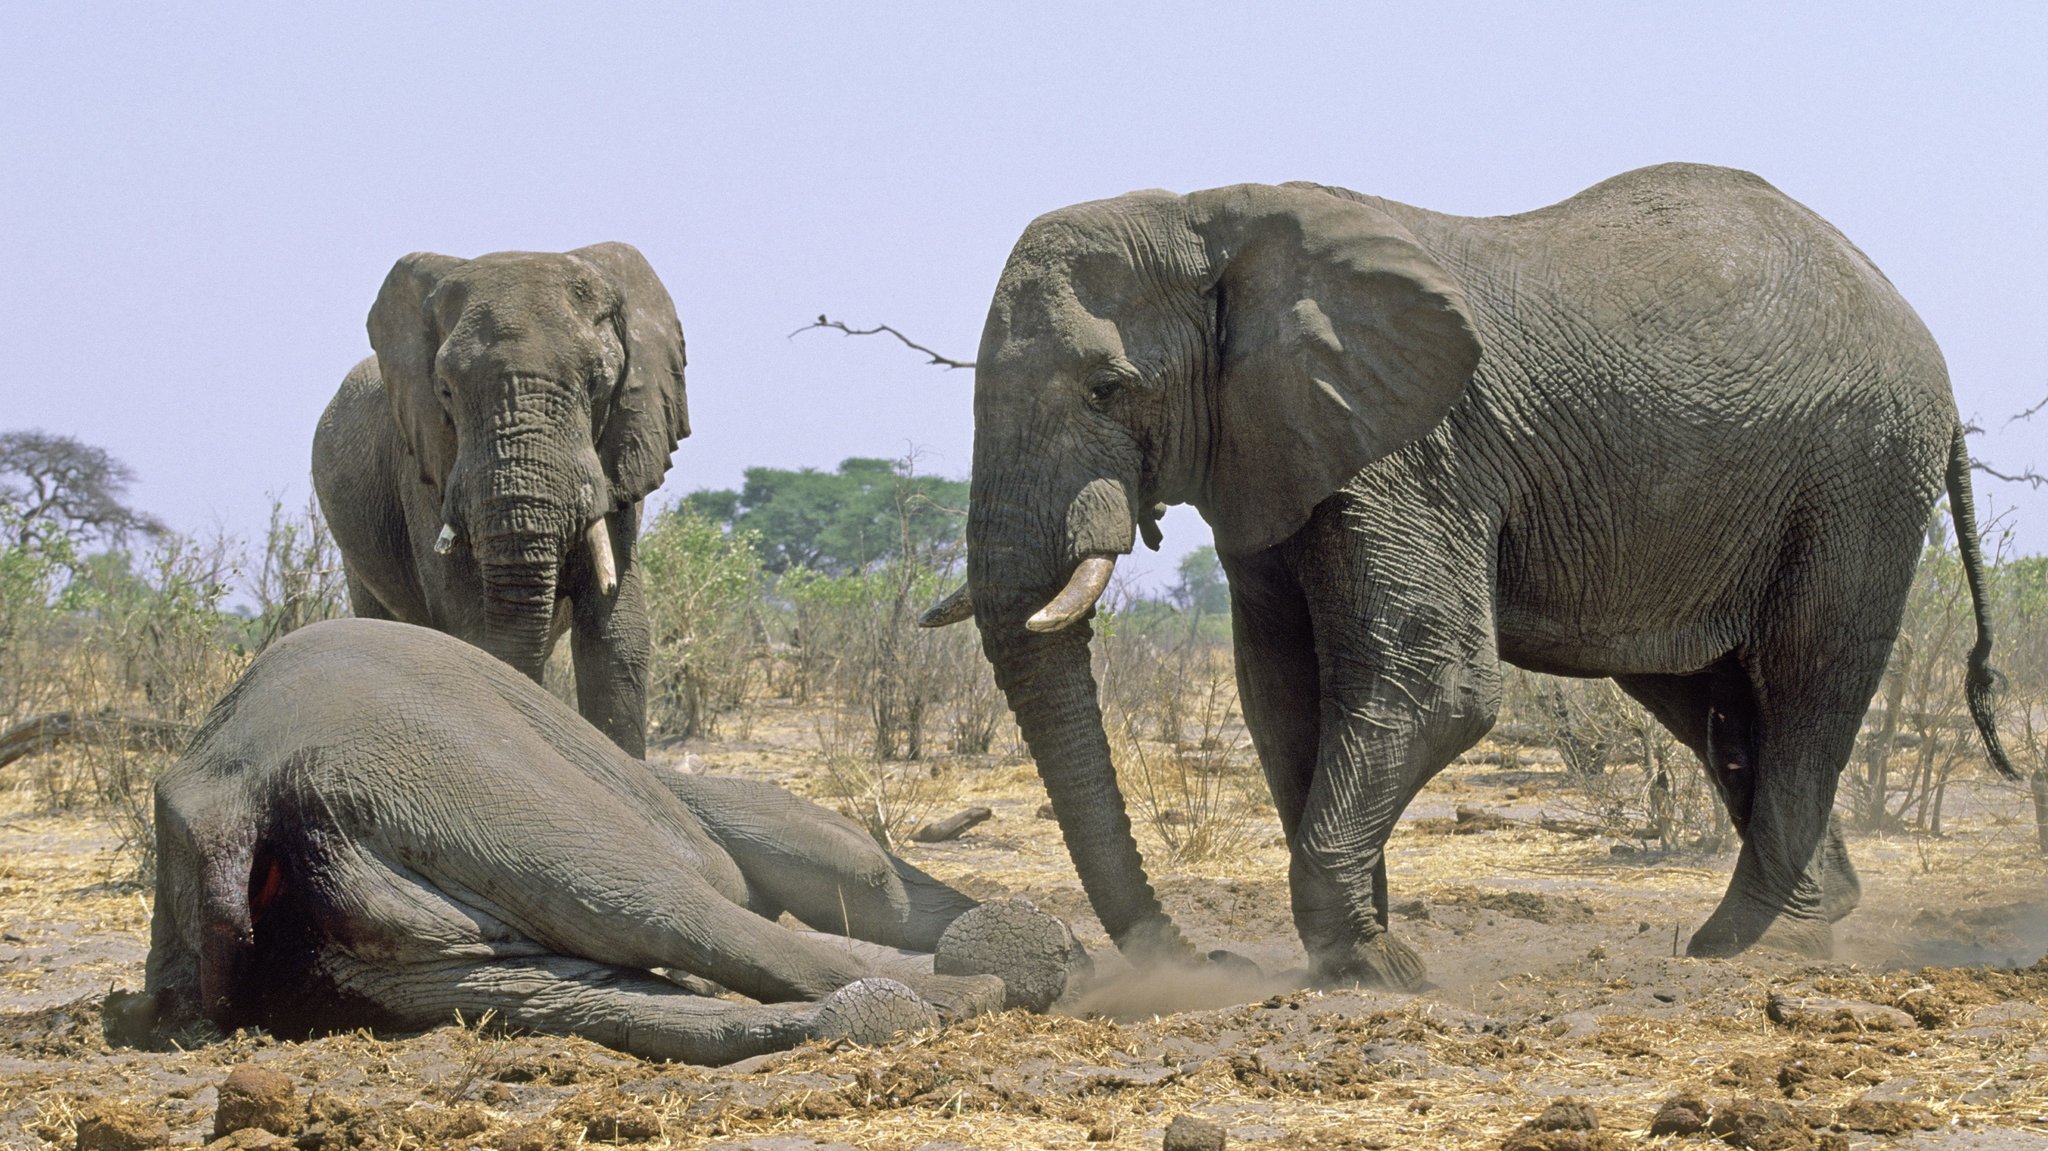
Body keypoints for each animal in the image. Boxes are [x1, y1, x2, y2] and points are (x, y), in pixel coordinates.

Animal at [116, 618, 1089, 1056]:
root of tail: (245, 795)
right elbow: (852, 874)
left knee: (564, 994)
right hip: (457, 781)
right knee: (670, 906)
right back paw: (998, 977)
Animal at [307, 241, 684, 757]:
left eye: (598, 383)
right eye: (445, 391)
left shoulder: (622, 453)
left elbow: (615, 638)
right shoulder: (425, 462)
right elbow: (472, 626)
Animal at [929, 161, 2015, 987]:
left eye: (1108, 388)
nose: (1198, 960)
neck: (1208, 213)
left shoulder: (1416, 452)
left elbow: (1433, 684)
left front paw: (1378, 970)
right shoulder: (1275, 453)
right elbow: (1281, 694)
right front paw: (1359, 956)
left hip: (1857, 473)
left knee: (1805, 678)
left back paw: (1751, 947)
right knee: (1709, 697)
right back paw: (1799, 921)